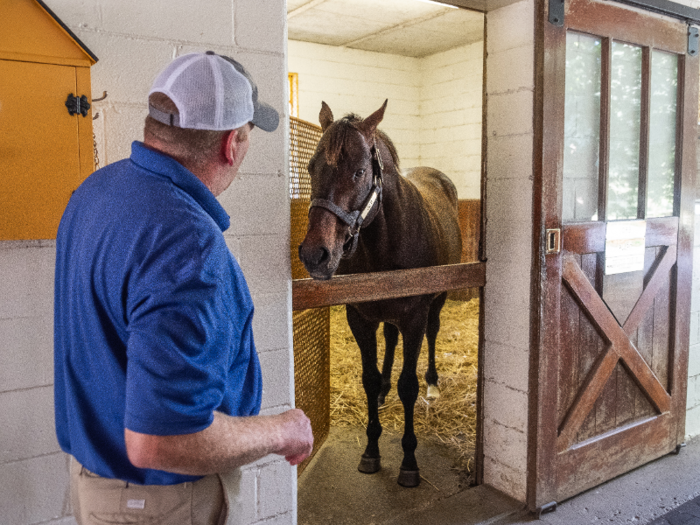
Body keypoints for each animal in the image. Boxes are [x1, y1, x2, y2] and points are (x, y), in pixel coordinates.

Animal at [298, 99, 462, 488]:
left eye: (359, 172)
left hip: (437, 301)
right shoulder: (361, 318)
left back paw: (433, 384)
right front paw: (372, 449)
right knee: (389, 337)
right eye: (311, 167)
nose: (315, 255)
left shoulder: (415, 318)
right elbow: (369, 380)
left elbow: (409, 385)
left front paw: (409, 461)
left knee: (433, 334)